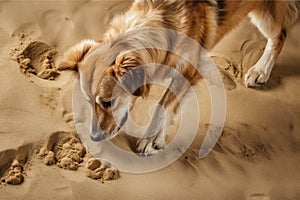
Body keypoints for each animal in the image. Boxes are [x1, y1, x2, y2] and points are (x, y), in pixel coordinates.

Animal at [57, 0, 298, 155]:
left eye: (108, 102)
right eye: (89, 102)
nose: (94, 137)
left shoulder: (191, 68)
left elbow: (163, 105)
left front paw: (151, 140)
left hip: (265, 14)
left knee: (280, 34)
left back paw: (261, 70)